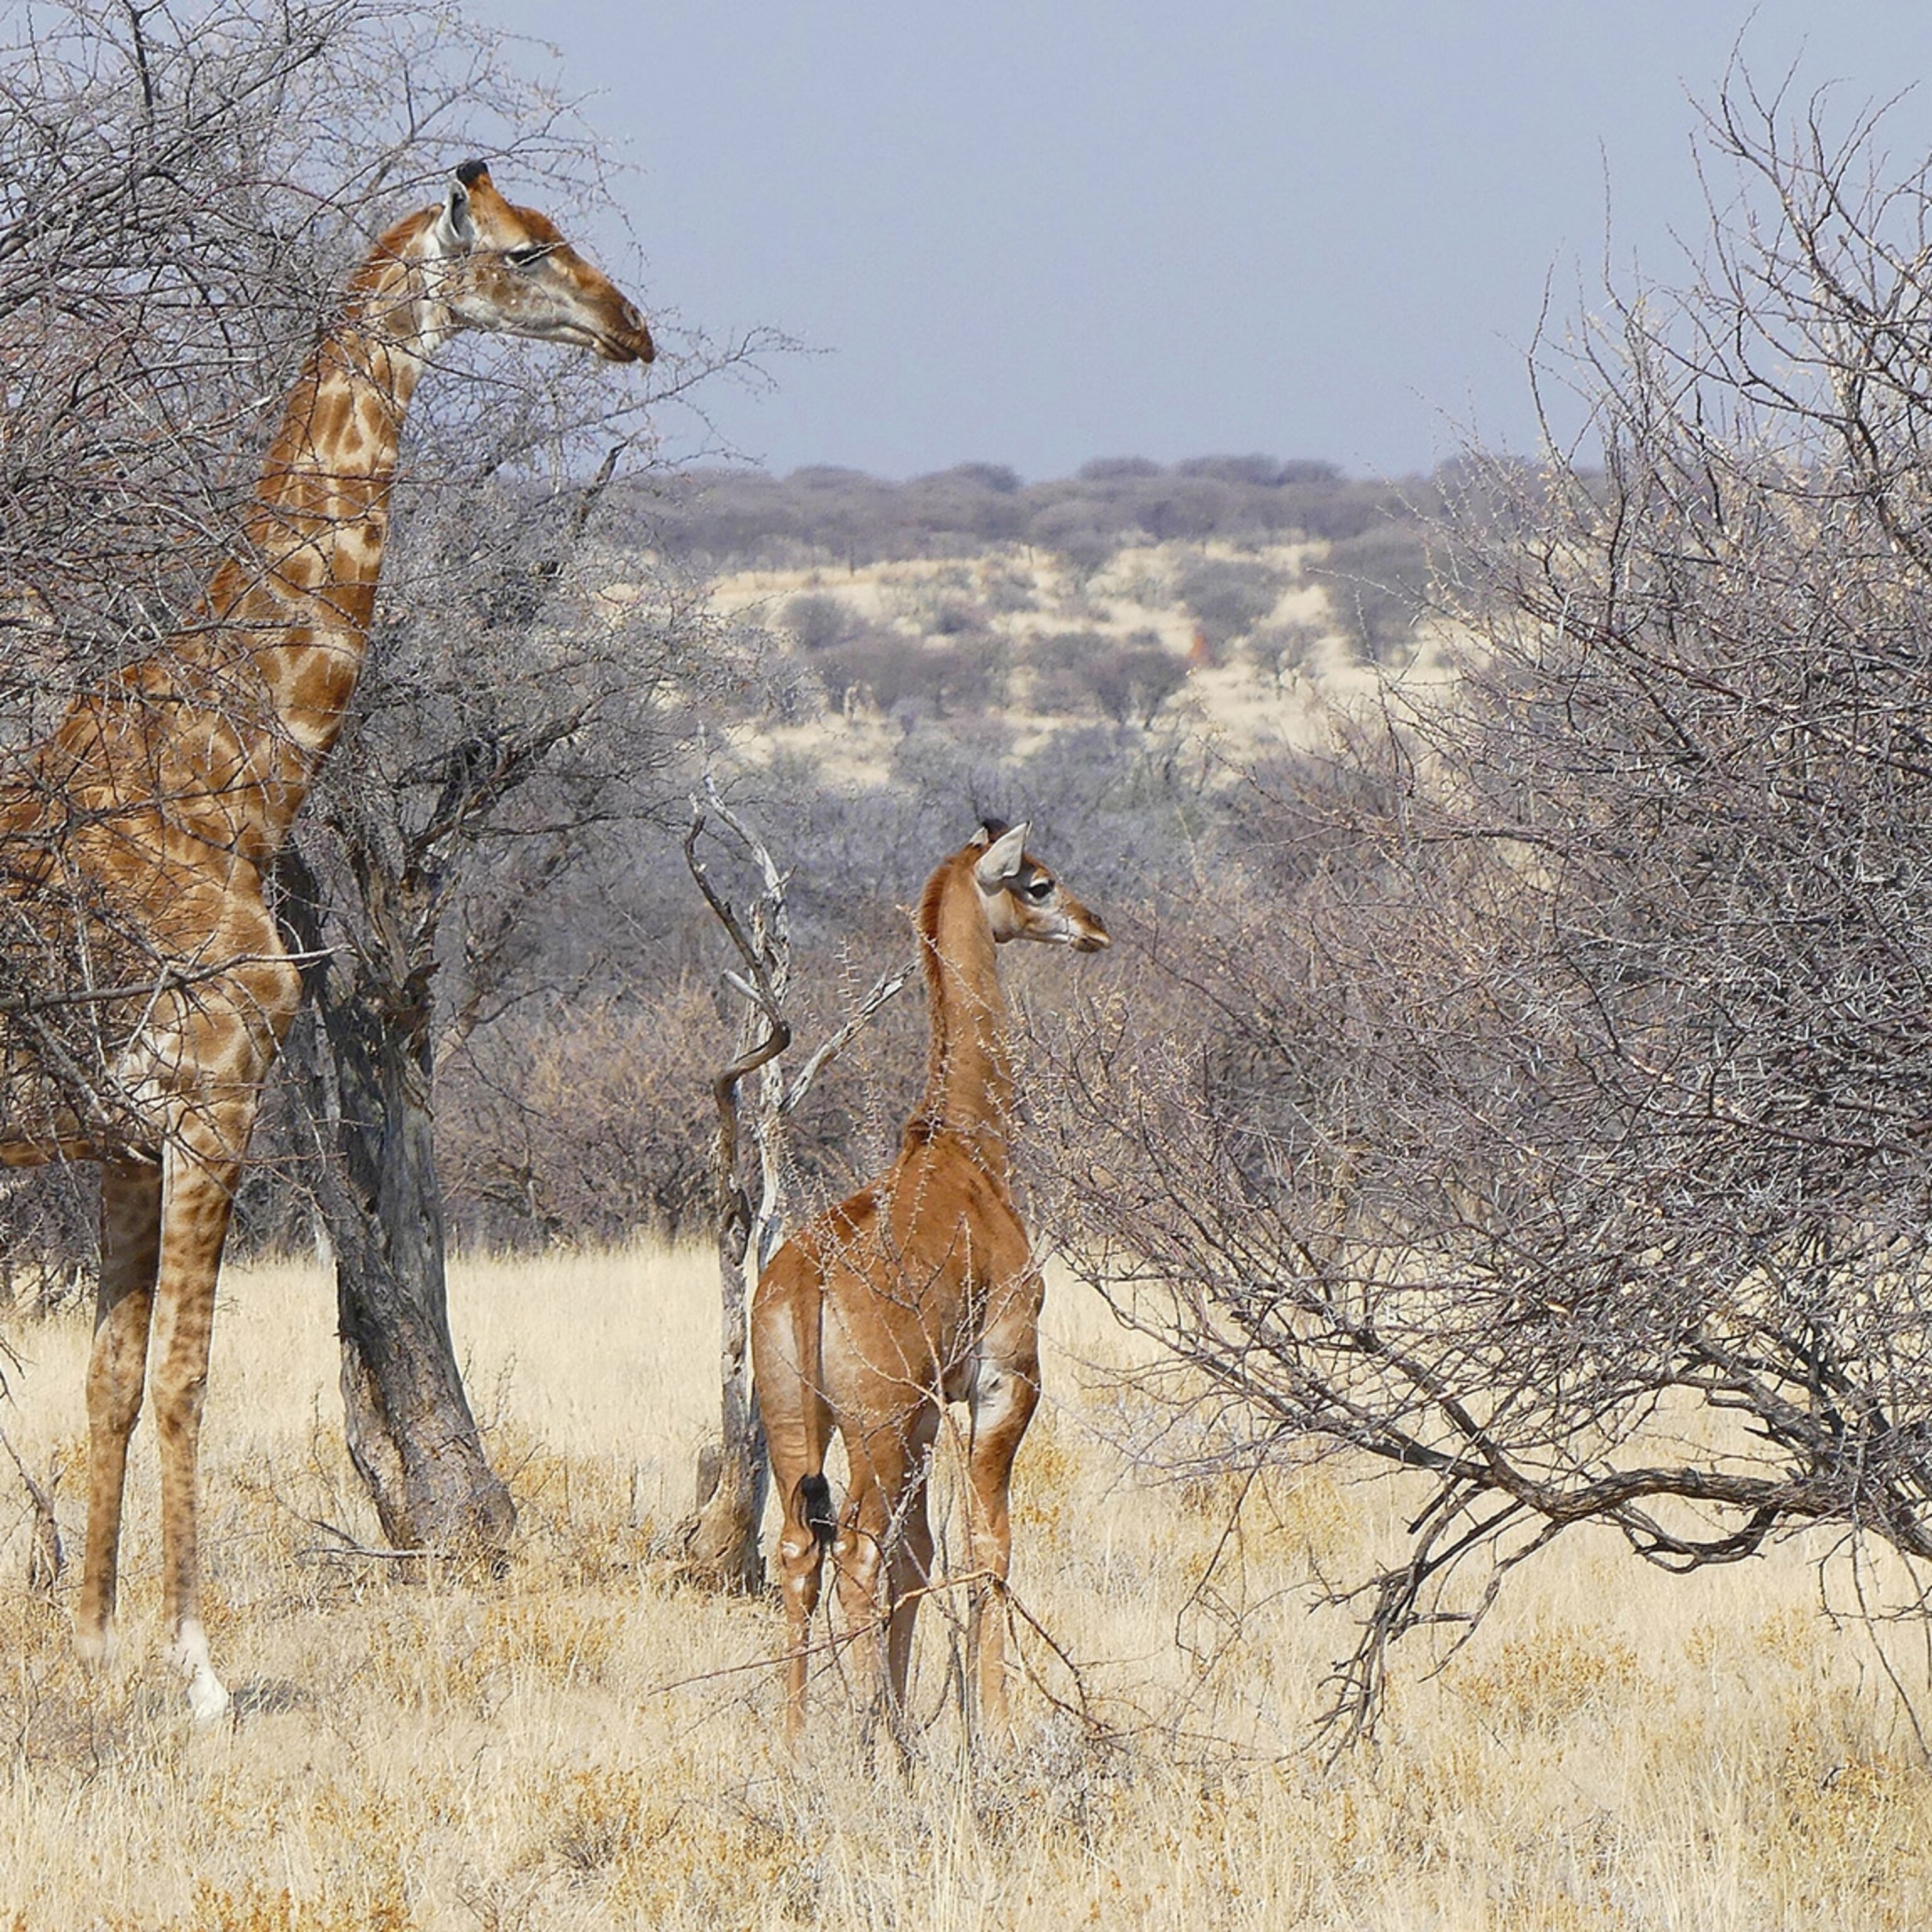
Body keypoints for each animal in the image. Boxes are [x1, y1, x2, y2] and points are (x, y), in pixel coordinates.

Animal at [0, 158, 657, 1715]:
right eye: (530, 252)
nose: (635, 329)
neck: (233, 778)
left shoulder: (125, 1139)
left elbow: (111, 1380)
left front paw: (96, 1650)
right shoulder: (215, 1103)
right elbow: (188, 1378)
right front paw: (198, 1671)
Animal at [757, 823, 1120, 1746]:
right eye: (1037, 882)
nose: (1094, 926)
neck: (966, 1150)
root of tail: (807, 1279)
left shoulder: (927, 1413)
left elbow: (921, 1556)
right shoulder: (1003, 1379)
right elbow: (988, 1545)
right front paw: (992, 1728)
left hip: (800, 1418)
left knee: (799, 1549)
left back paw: (798, 1745)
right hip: (875, 1422)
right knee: (854, 1547)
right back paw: (872, 1742)